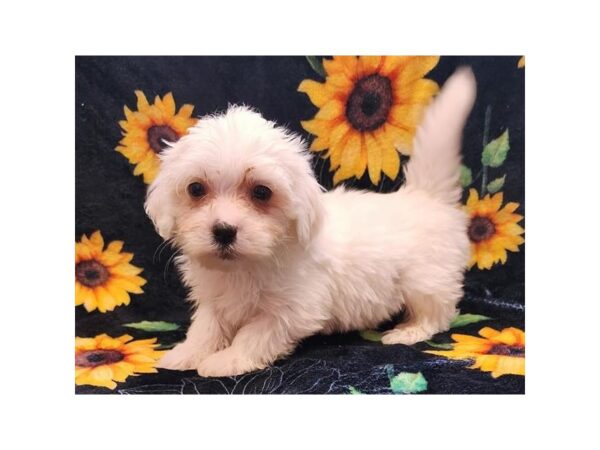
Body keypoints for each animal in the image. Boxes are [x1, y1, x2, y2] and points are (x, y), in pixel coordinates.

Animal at [146, 67, 478, 376]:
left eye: (262, 192)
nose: (224, 231)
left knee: (437, 312)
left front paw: (228, 360)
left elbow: (255, 333)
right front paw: (188, 353)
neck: (246, 266)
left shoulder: (293, 308)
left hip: (426, 279)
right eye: (196, 189)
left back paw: (408, 331)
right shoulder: (215, 297)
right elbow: (206, 325)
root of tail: (425, 196)